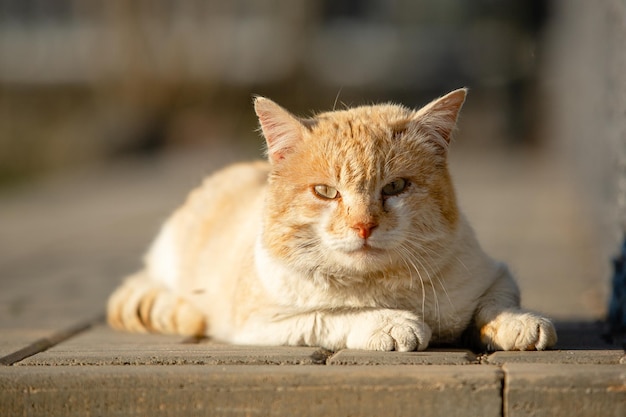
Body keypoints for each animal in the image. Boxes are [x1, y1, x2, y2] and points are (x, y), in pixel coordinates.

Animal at [107, 88, 556, 352]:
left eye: (395, 187)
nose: (363, 226)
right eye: (325, 192)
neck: (383, 287)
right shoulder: (260, 323)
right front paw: (391, 324)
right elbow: (330, 316)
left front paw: (518, 324)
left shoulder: (494, 274)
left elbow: (496, 304)